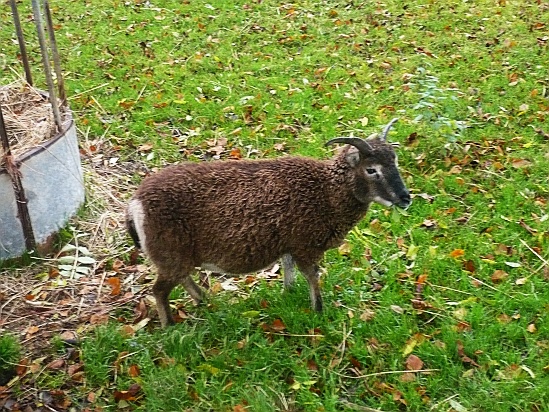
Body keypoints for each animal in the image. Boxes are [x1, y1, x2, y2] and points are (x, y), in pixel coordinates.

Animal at [127, 117, 412, 326]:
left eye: (395, 161)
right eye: (371, 169)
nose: (405, 198)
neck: (326, 190)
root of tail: (135, 203)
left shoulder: (288, 244)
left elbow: (289, 272)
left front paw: (289, 295)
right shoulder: (305, 245)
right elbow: (312, 276)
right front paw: (318, 311)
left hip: (176, 255)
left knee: (181, 279)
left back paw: (205, 301)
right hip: (169, 252)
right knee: (159, 291)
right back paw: (170, 327)